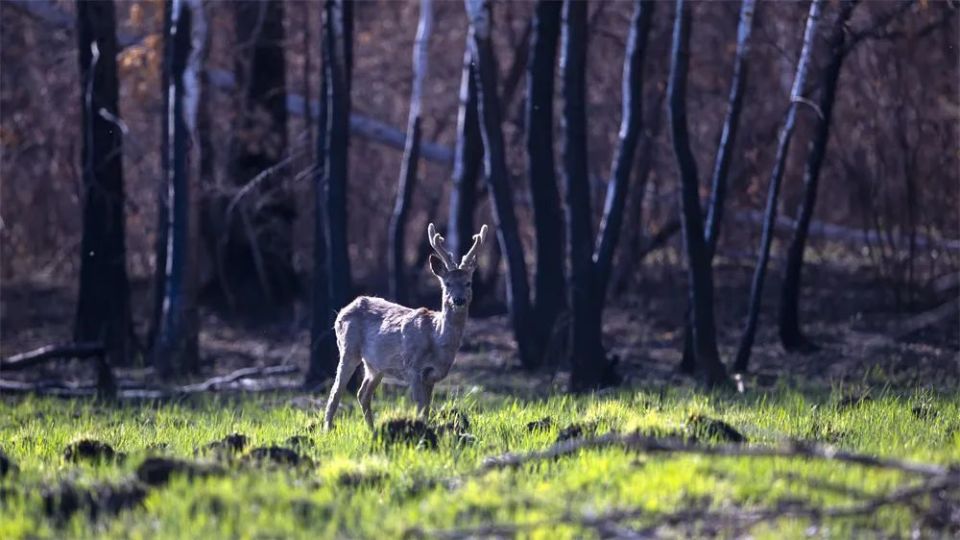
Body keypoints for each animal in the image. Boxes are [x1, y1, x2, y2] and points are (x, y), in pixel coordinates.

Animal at [324, 220, 488, 430]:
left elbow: (427, 408)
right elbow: (419, 406)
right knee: (336, 391)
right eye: (447, 284)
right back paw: (327, 430)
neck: (437, 338)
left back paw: (372, 429)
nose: (458, 300)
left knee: (363, 393)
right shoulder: (413, 367)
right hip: (348, 349)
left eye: (468, 283)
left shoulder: (432, 375)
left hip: (376, 365)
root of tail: (341, 312)